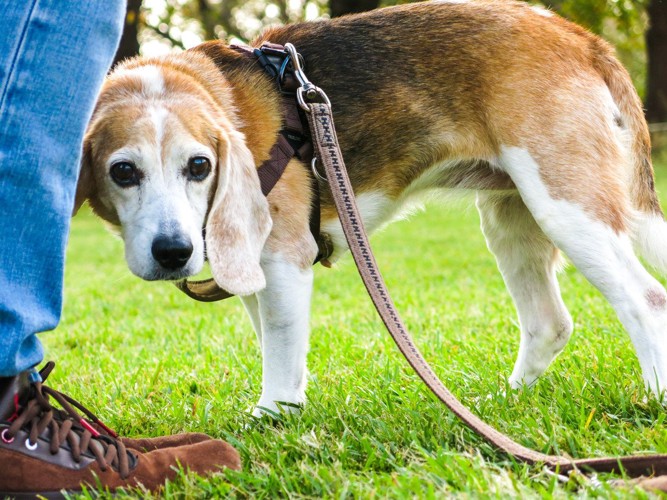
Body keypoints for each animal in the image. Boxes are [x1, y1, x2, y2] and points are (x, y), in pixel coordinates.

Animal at [75, 0, 667, 414]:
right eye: (122, 172)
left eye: (199, 166)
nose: (173, 253)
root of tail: (576, 35)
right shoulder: (248, 263)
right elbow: (274, 343)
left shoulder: (284, 257)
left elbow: (281, 356)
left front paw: (272, 420)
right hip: (509, 219)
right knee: (550, 323)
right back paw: (502, 404)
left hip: (566, 207)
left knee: (647, 300)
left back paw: (654, 397)